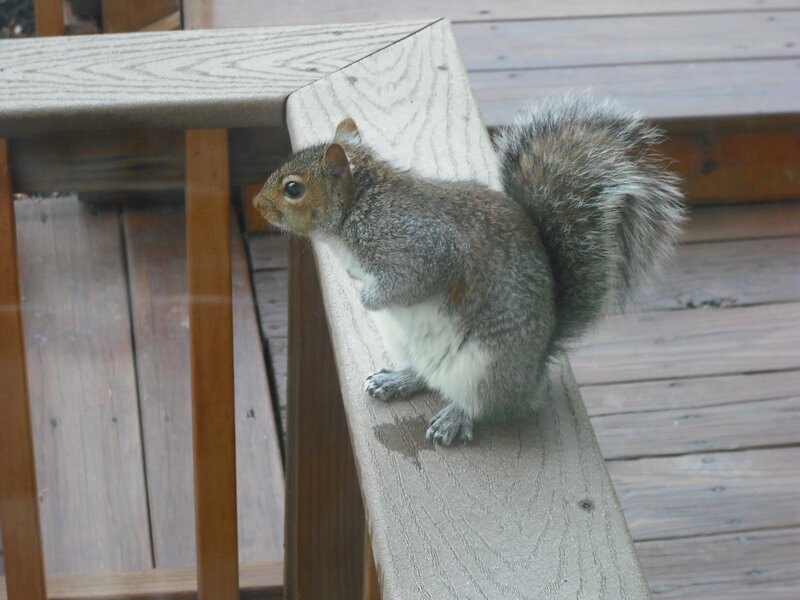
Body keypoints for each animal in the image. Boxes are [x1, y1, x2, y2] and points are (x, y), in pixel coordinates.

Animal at [254, 96, 685, 446]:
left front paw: (367, 297)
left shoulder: (421, 248)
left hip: (484, 368)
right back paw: (399, 379)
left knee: (485, 405)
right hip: (407, 343)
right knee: (425, 375)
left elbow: (404, 283)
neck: (362, 205)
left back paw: (454, 418)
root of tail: (533, 370)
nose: (258, 205)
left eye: (293, 189)